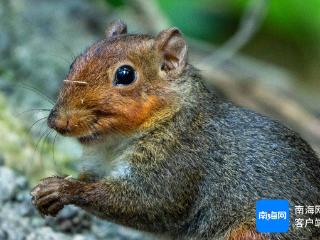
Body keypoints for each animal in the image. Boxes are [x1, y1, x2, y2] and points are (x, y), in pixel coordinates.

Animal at [31, 19, 320, 239]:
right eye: (75, 62)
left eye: (125, 75)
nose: (57, 122)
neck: (114, 142)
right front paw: (50, 187)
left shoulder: (180, 162)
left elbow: (149, 202)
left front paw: (63, 189)